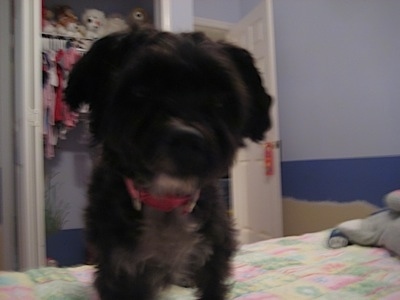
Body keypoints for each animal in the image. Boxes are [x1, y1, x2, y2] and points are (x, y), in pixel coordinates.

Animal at [65, 25, 272, 300]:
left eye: (219, 99)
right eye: (141, 91)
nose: (186, 139)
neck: (165, 200)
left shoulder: (214, 257)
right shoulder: (119, 269)